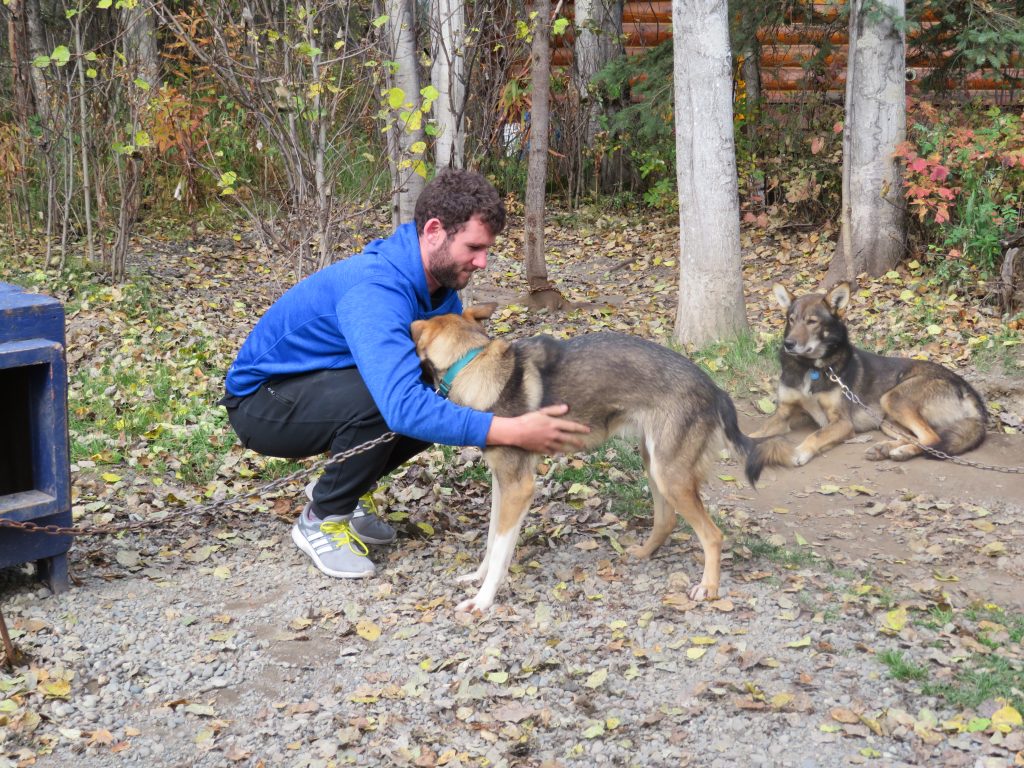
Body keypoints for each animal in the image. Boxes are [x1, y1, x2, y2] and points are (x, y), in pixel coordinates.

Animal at [409, 307, 761, 614]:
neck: (474, 363)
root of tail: (714, 389)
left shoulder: (518, 488)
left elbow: (499, 552)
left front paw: (482, 601)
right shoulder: (502, 483)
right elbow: (492, 542)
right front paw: (477, 578)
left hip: (670, 474)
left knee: (712, 535)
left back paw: (709, 587)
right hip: (655, 464)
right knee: (666, 520)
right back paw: (643, 553)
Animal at [753, 280, 983, 466]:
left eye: (812, 321)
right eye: (791, 319)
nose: (788, 344)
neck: (811, 368)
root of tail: (967, 388)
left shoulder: (842, 422)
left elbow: (816, 436)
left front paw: (799, 452)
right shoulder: (783, 413)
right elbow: (756, 433)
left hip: (893, 398)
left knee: (932, 439)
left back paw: (900, 452)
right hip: (886, 419)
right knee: (919, 438)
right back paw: (886, 449)